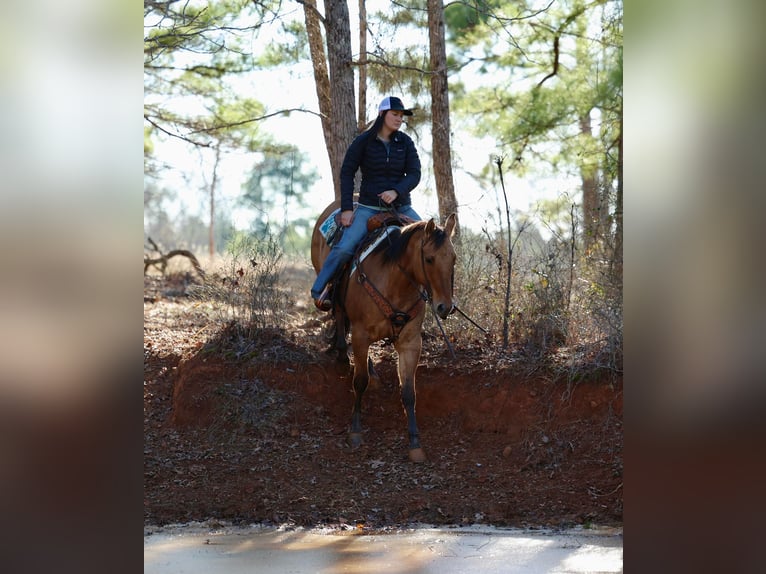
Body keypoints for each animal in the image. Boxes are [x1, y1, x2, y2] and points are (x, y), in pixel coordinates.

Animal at [310, 201, 460, 464]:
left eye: (453, 258)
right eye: (429, 259)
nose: (445, 307)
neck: (395, 283)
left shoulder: (411, 343)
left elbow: (409, 392)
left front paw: (415, 443)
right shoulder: (361, 335)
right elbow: (359, 382)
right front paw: (355, 431)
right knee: (338, 315)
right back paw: (342, 355)